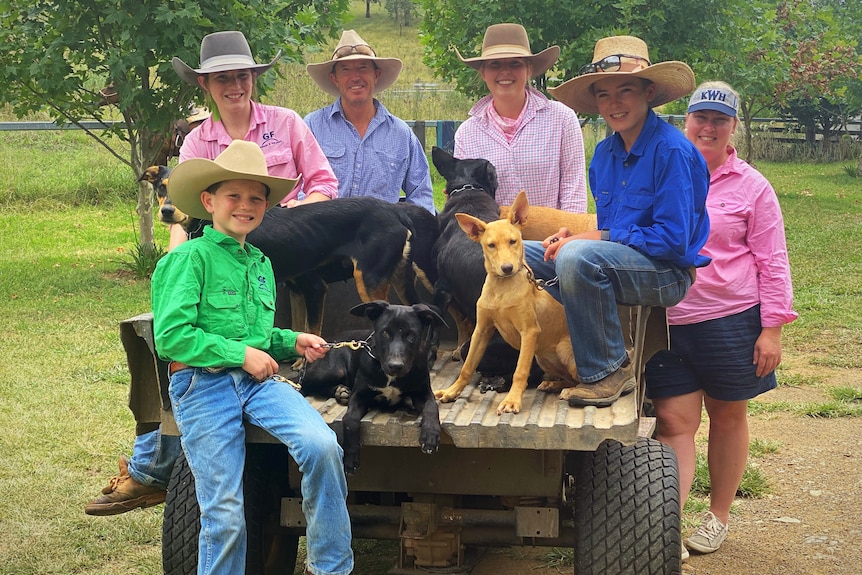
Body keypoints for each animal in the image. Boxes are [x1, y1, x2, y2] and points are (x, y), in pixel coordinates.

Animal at [302, 300, 448, 474]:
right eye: (385, 333)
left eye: (411, 335)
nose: (395, 366)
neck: (390, 377)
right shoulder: (359, 396)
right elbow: (350, 420)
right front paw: (351, 457)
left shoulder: (423, 392)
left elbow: (432, 407)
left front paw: (430, 434)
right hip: (333, 370)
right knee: (305, 384)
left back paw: (340, 391)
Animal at [438, 194, 580, 414]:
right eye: (491, 245)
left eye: (513, 241)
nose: (507, 268)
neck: (501, 290)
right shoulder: (481, 330)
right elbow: (467, 366)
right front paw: (452, 391)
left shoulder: (529, 332)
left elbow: (519, 371)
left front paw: (512, 401)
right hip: (542, 357)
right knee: (567, 378)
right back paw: (552, 384)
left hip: (561, 352)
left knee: (580, 380)